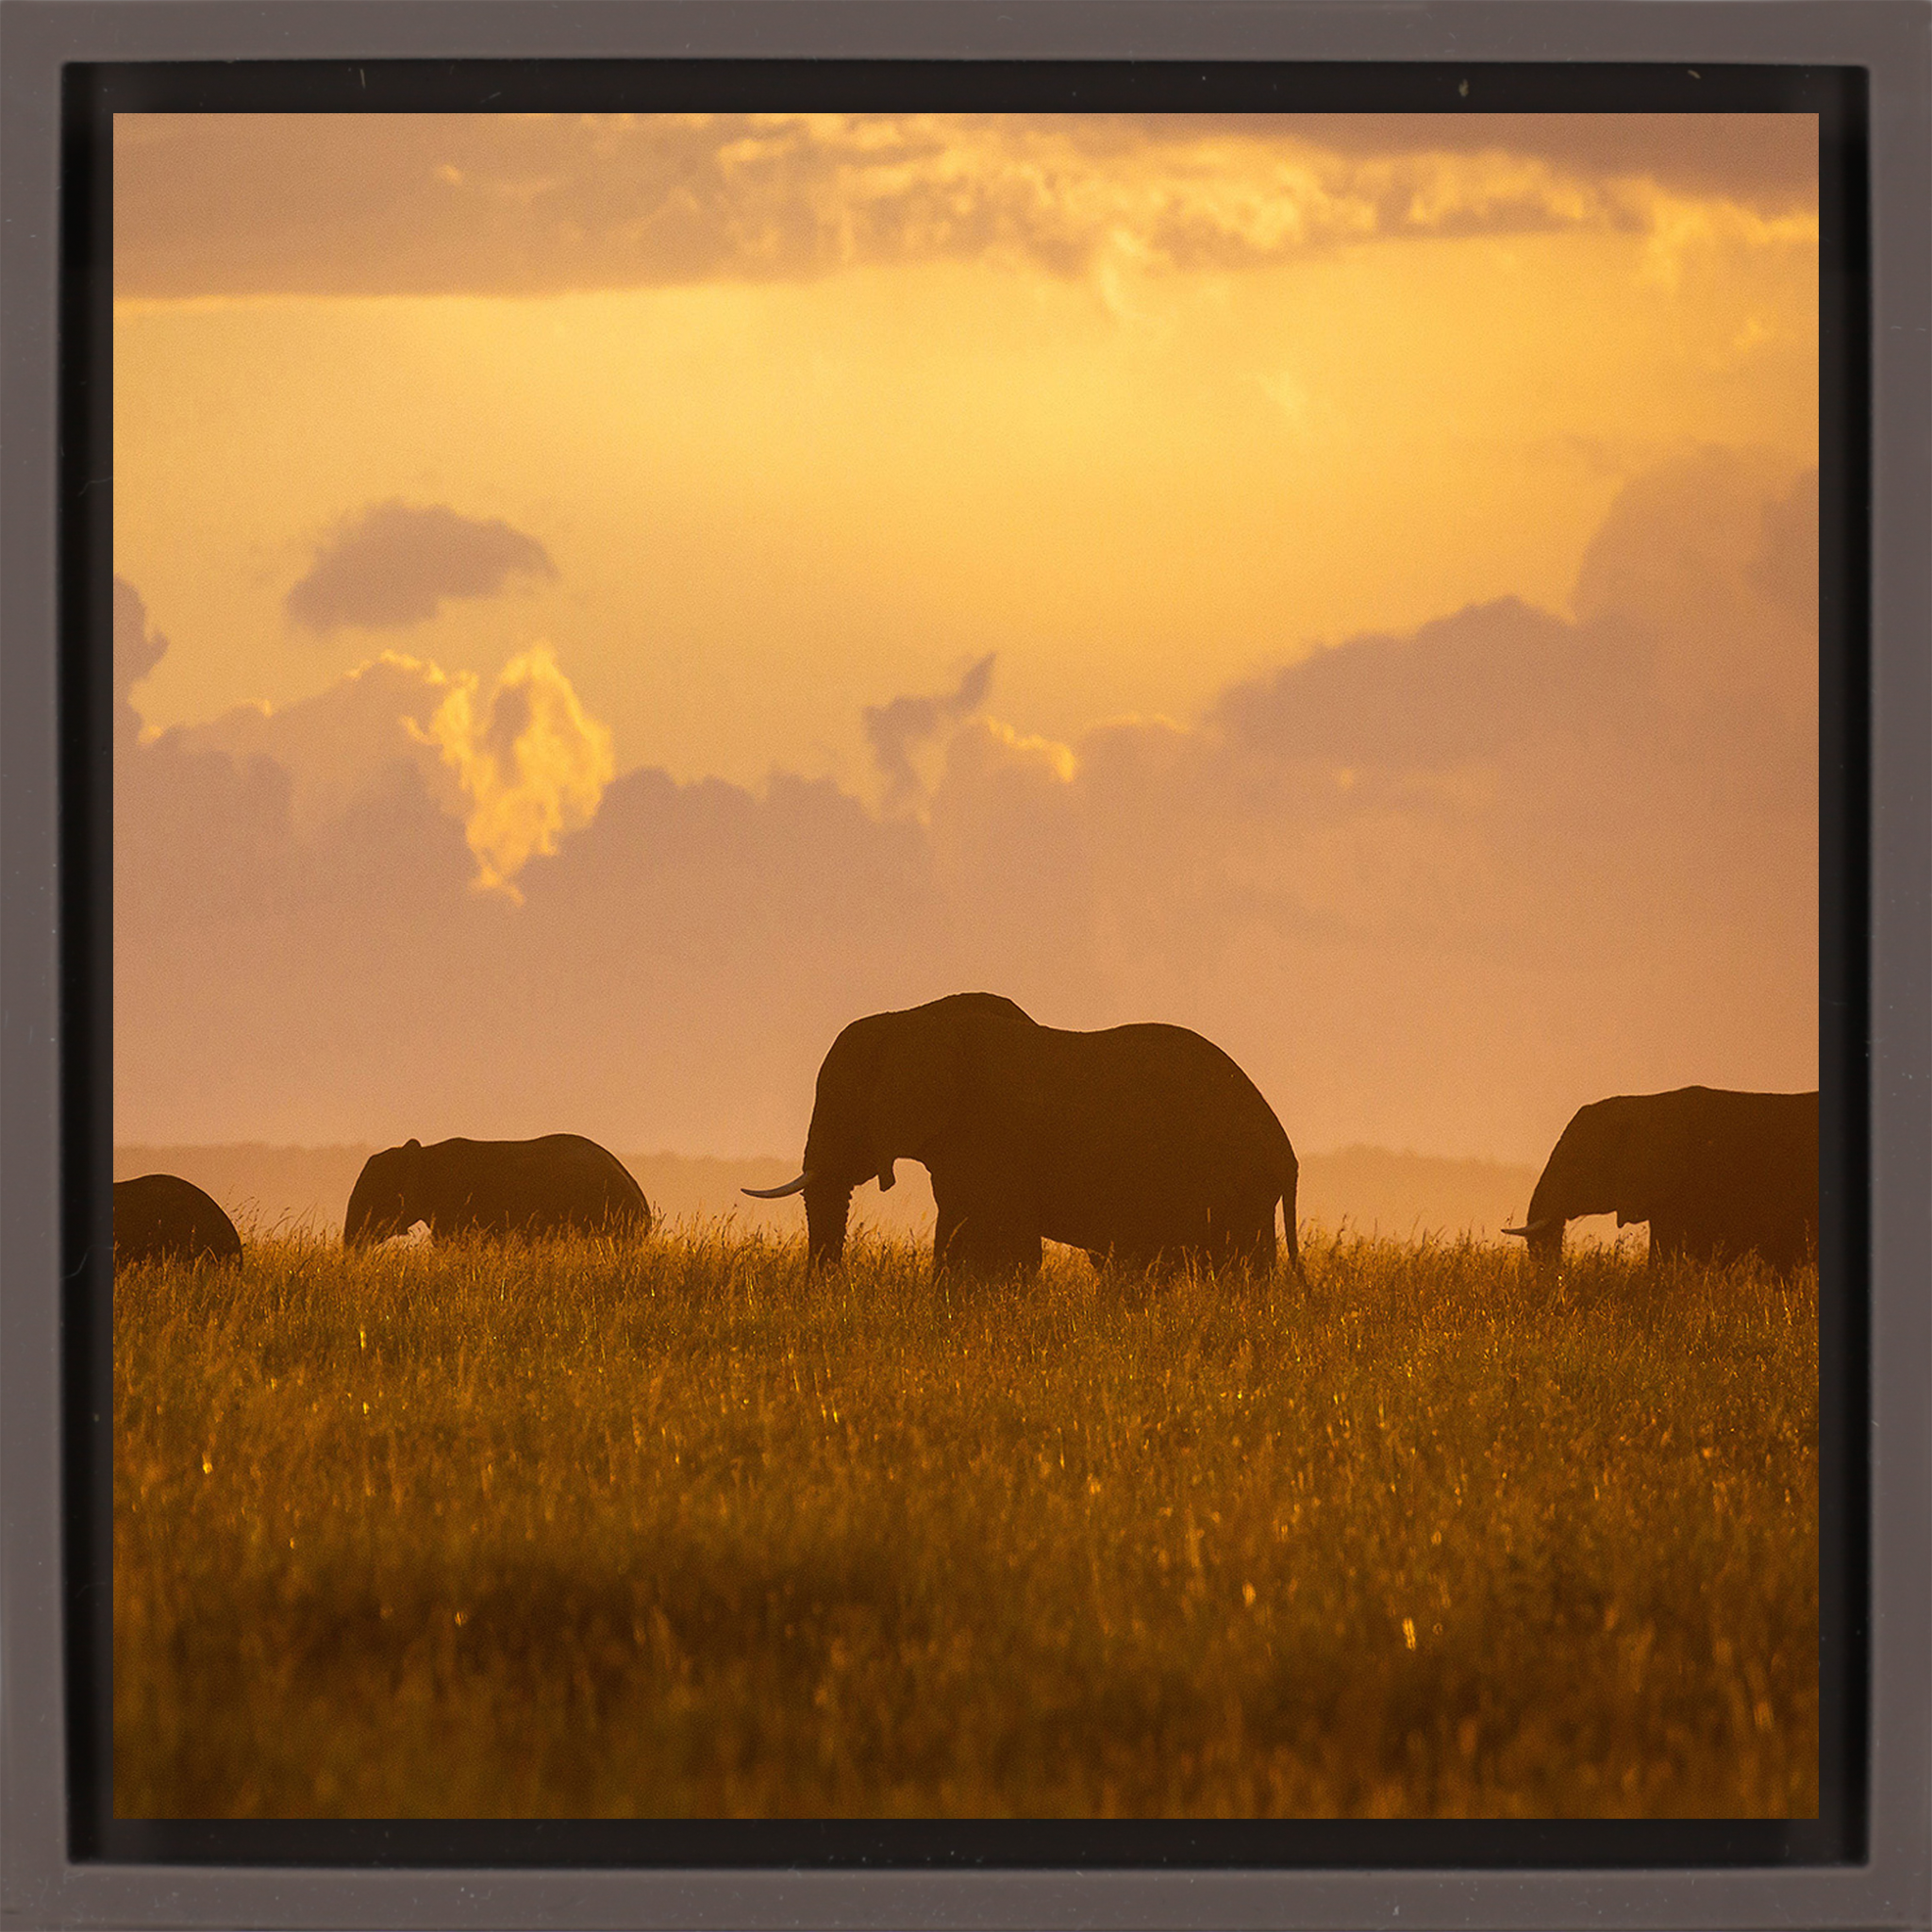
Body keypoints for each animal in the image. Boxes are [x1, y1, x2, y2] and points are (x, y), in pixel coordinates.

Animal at [745, 992, 1304, 1279]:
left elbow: (993, 1246)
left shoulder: (988, 1137)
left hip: (1237, 1187)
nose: (828, 1292)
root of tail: (1287, 1153)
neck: (910, 1019)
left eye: (842, 1106)